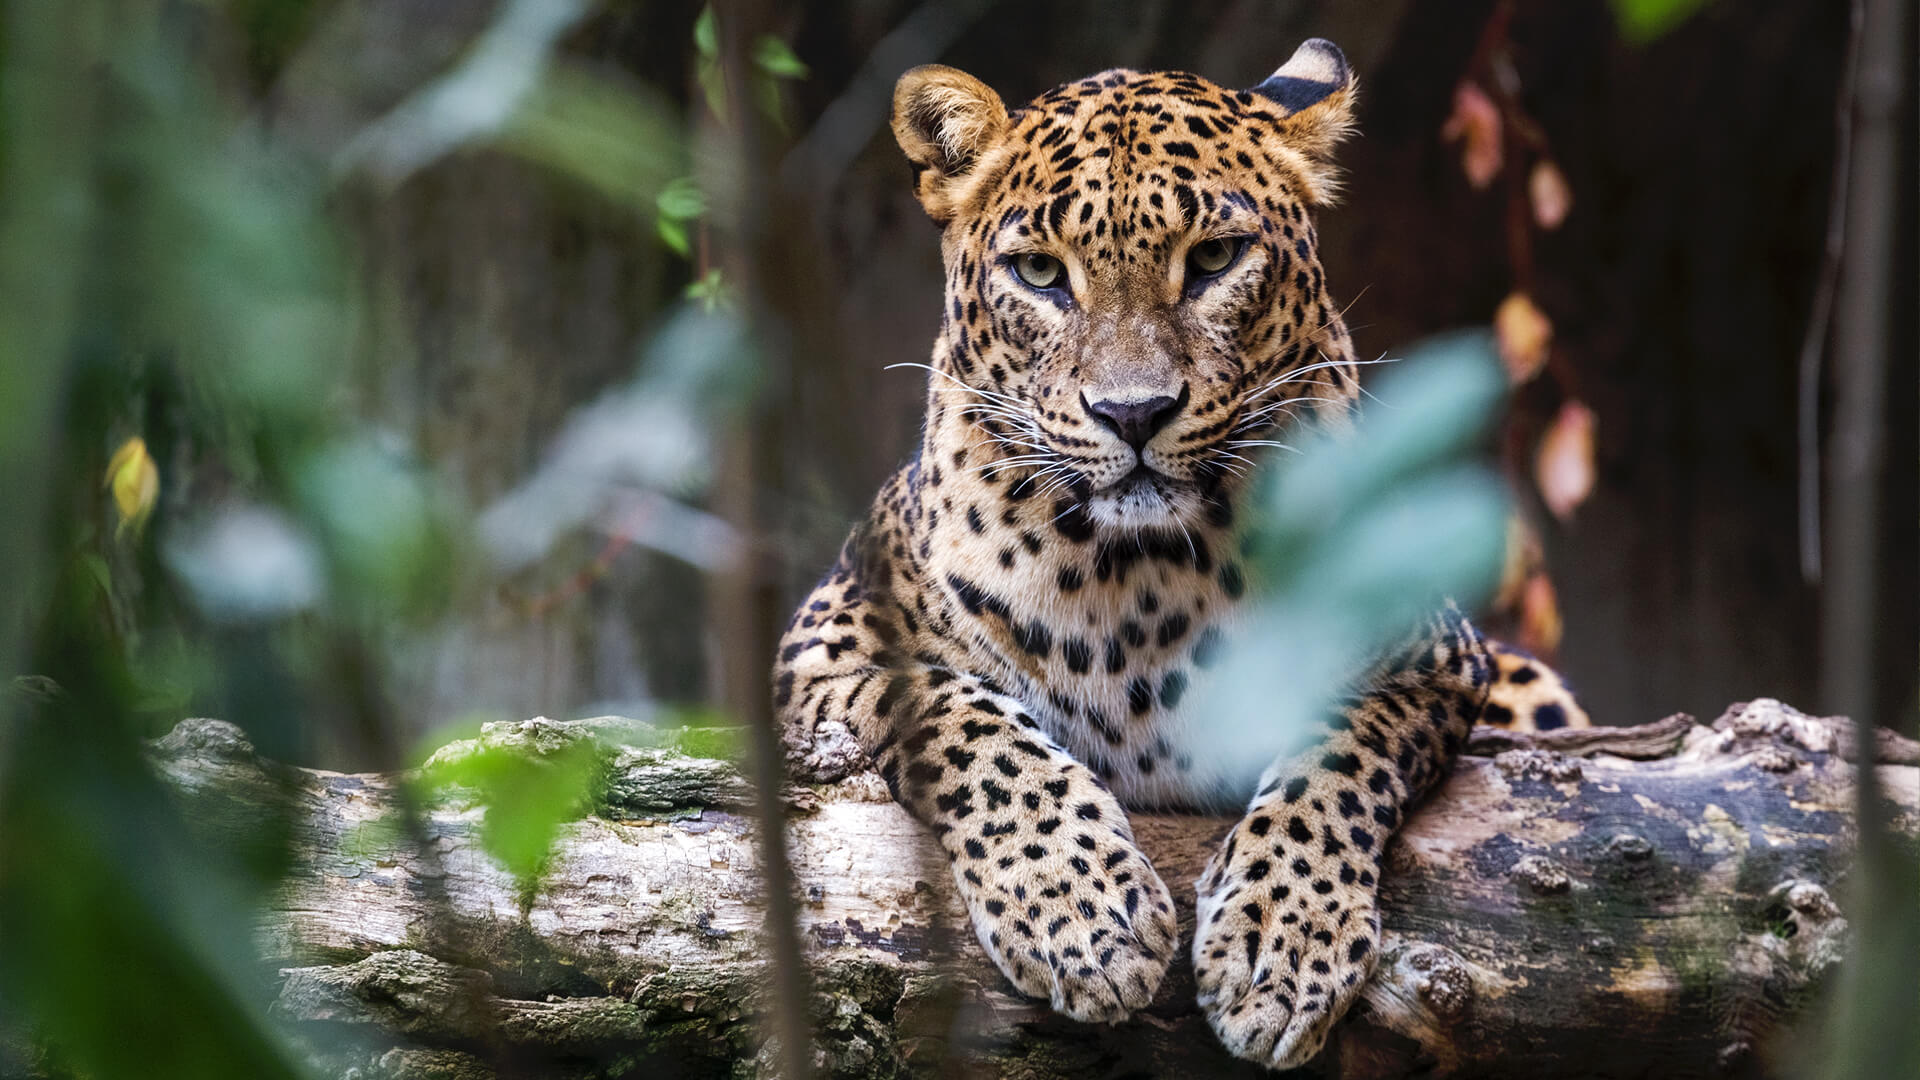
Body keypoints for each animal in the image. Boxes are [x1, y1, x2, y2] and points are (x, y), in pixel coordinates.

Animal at [774, 39, 1586, 1069]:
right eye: (1039, 272)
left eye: (1213, 259)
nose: (1134, 413)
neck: (1139, 576)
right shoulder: (827, 643)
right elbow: (972, 726)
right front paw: (1083, 916)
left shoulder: (1432, 655)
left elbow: (1336, 753)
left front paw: (1281, 945)